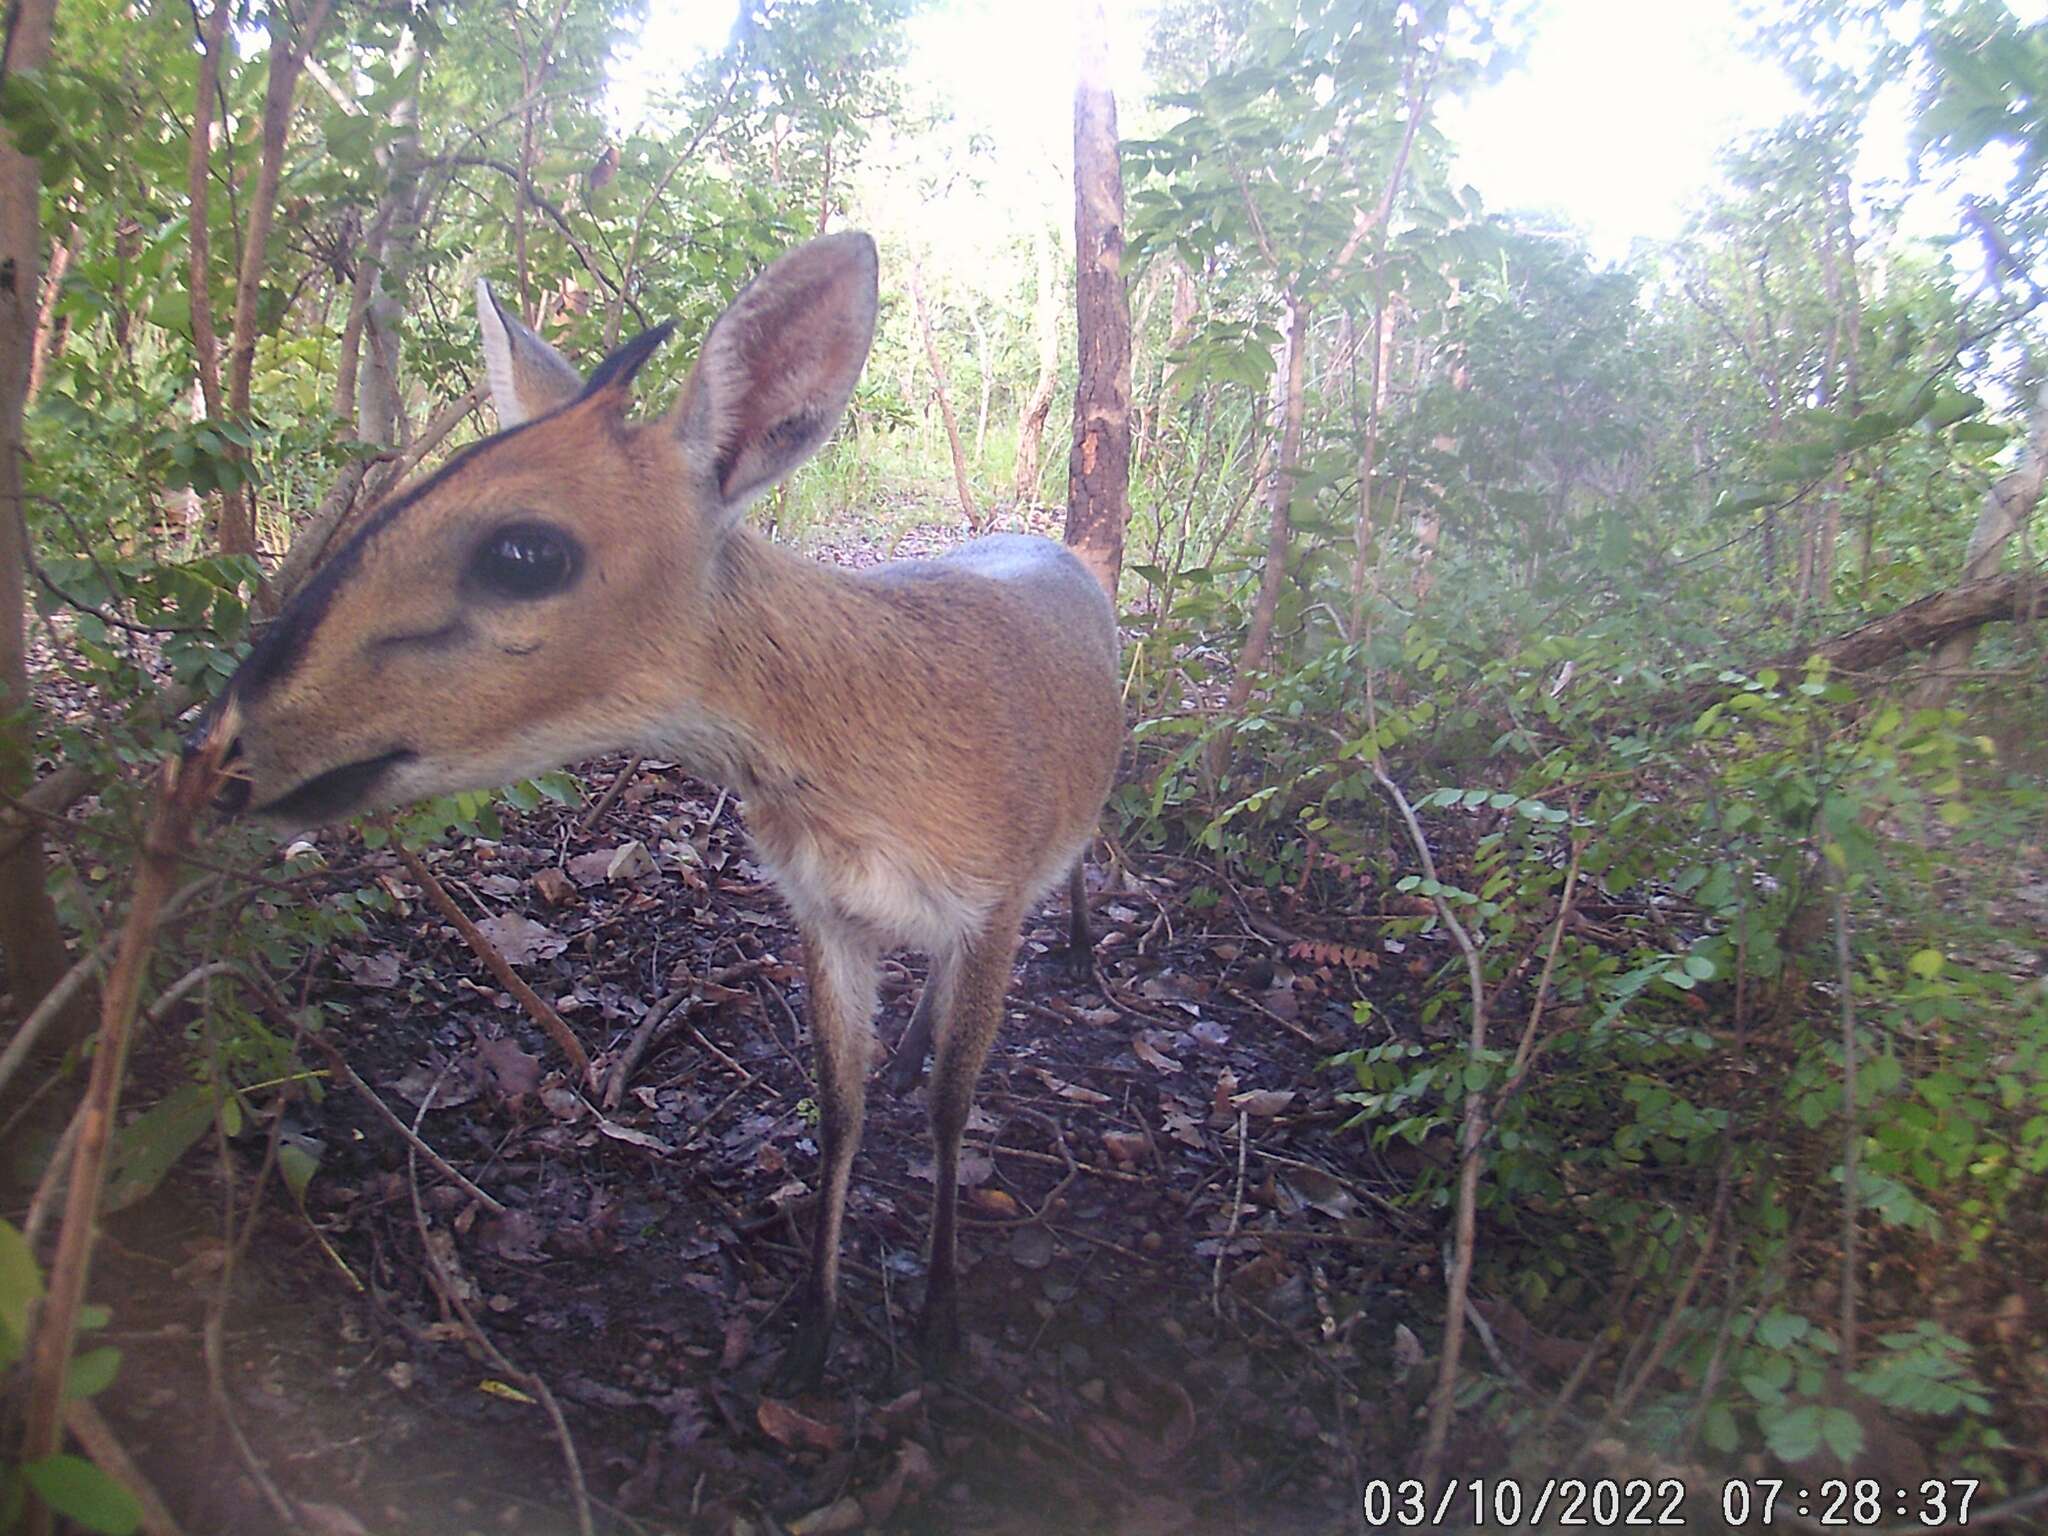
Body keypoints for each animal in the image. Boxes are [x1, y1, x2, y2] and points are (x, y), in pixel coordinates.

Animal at [192, 234, 1122, 1392]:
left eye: (525, 551)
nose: (221, 750)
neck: (870, 772)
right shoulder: (823, 912)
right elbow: (840, 1105)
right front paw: (809, 1327)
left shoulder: (991, 897)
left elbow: (957, 1105)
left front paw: (942, 1315)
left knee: (1088, 851)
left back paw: (1080, 945)